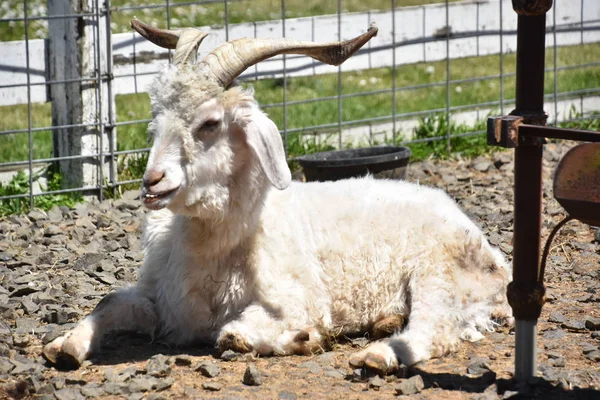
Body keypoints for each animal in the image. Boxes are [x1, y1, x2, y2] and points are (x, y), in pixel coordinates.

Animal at [43, 18, 510, 372]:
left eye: (210, 123)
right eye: (157, 116)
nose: (153, 182)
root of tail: (492, 255)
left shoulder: (297, 300)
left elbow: (232, 333)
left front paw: (303, 338)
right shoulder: (163, 300)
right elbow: (110, 301)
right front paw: (65, 345)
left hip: (437, 270)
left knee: (437, 326)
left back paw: (378, 355)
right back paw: (384, 323)